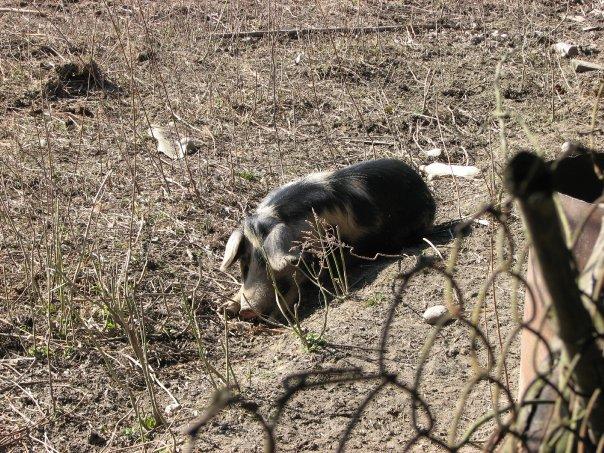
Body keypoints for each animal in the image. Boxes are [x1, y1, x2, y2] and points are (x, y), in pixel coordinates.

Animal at [219, 158, 436, 318]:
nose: (247, 311)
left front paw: (277, 316)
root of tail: (425, 189)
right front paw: (225, 308)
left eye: (269, 265)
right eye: (244, 265)